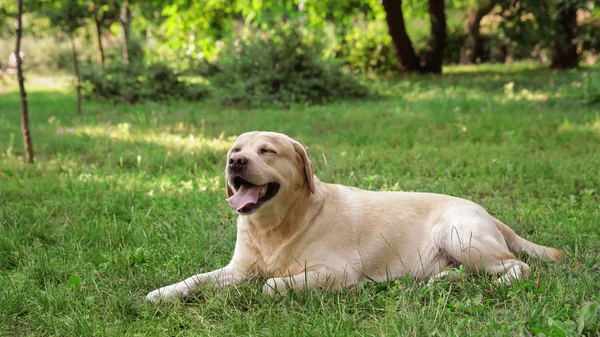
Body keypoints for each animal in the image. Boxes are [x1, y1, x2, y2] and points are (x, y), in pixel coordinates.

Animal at [146, 130, 564, 300]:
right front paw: (163, 292)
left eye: (267, 151)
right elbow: (196, 279)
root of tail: (486, 212)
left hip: (459, 233)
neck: (275, 225)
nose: (235, 162)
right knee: (466, 272)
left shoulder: (335, 271)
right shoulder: (237, 270)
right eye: (235, 150)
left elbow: (270, 284)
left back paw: (497, 284)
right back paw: (441, 281)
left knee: (517, 267)